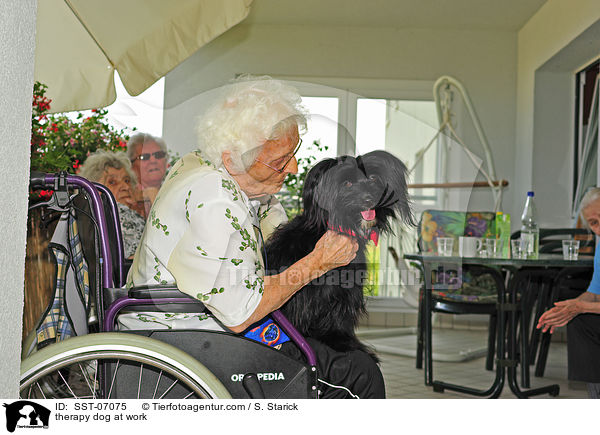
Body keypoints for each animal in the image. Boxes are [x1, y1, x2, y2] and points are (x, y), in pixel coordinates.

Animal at [266, 150, 412, 362]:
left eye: (373, 178)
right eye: (347, 183)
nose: (369, 199)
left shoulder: (345, 291)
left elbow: (340, 318)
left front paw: (344, 342)